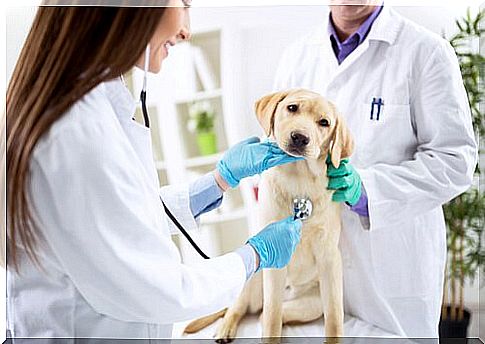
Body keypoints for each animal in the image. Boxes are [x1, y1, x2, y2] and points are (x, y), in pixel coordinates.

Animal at [184, 88, 352, 342]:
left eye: (324, 122)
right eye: (292, 108)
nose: (300, 137)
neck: (300, 179)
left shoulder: (329, 260)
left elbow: (334, 319)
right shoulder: (273, 264)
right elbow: (272, 317)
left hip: (311, 304)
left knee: (268, 315)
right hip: (253, 278)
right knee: (241, 308)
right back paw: (226, 327)